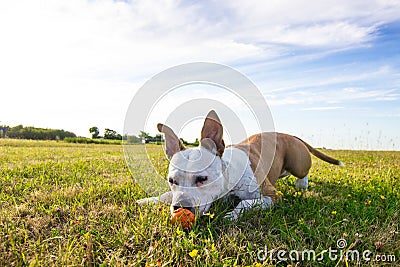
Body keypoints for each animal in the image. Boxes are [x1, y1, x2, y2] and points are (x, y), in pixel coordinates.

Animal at [138, 110, 344, 221]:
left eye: (202, 178)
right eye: (172, 180)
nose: (180, 208)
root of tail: (289, 135)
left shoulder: (272, 196)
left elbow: (244, 202)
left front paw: (231, 215)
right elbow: (166, 195)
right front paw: (149, 200)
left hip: (298, 162)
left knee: (303, 171)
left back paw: (302, 184)